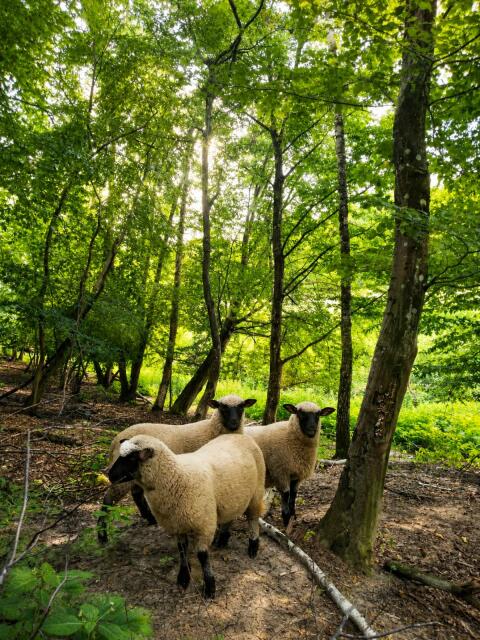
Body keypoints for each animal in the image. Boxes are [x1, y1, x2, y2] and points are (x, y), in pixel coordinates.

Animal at [97, 394, 256, 543]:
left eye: (241, 407)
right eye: (222, 407)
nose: (234, 423)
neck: (211, 430)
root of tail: (115, 440)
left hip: (137, 474)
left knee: (136, 493)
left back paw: (149, 519)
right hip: (122, 476)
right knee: (108, 500)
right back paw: (102, 536)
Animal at [108, 432, 265, 599]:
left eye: (132, 458)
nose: (109, 475)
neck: (177, 477)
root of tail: (239, 435)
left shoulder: (204, 526)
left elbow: (202, 556)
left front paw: (210, 587)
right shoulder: (176, 524)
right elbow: (182, 550)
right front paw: (183, 577)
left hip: (257, 490)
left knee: (253, 519)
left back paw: (253, 546)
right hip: (232, 498)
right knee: (231, 515)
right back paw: (222, 539)